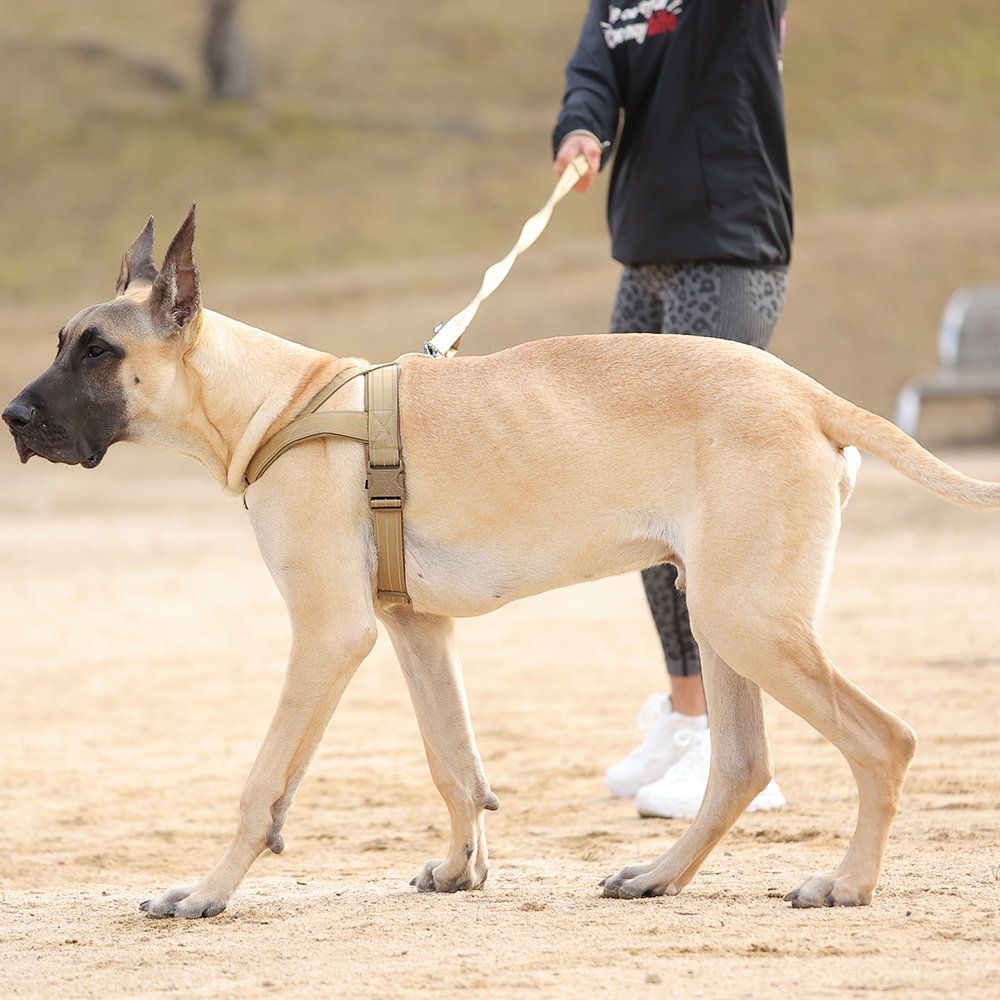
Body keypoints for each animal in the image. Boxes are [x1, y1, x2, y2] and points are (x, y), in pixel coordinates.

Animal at [7, 209, 1000, 916]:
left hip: (746, 619)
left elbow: (263, 782)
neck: (280, 402)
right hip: (722, 616)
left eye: (98, 350)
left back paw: (847, 884)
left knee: (884, 739)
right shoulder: (414, 628)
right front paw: (462, 867)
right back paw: (658, 875)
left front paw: (208, 891)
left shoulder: (329, 635)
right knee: (741, 766)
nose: (13, 419)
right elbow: (455, 761)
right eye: (61, 340)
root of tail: (808, 391)